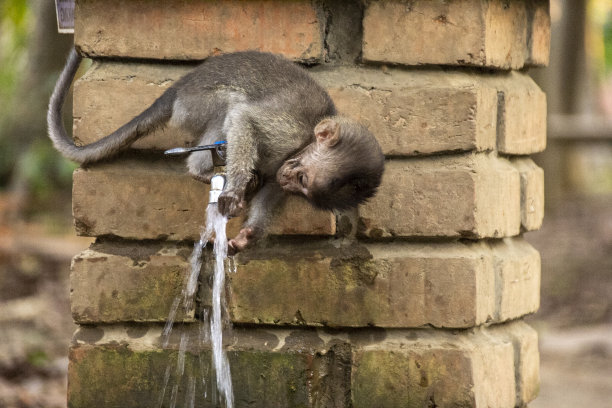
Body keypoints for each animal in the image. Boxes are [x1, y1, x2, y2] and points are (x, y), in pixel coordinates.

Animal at [47, 47, 384, 252]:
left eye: (302, 191)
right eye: (303, 180)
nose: (290, 181)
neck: (305, 140)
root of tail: (179, 88)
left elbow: (272, 190)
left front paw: (249, 235)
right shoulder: (289, 130)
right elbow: (244, 117)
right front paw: (235, 188)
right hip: (193, 106)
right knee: (231, 104)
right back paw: (203, 170)